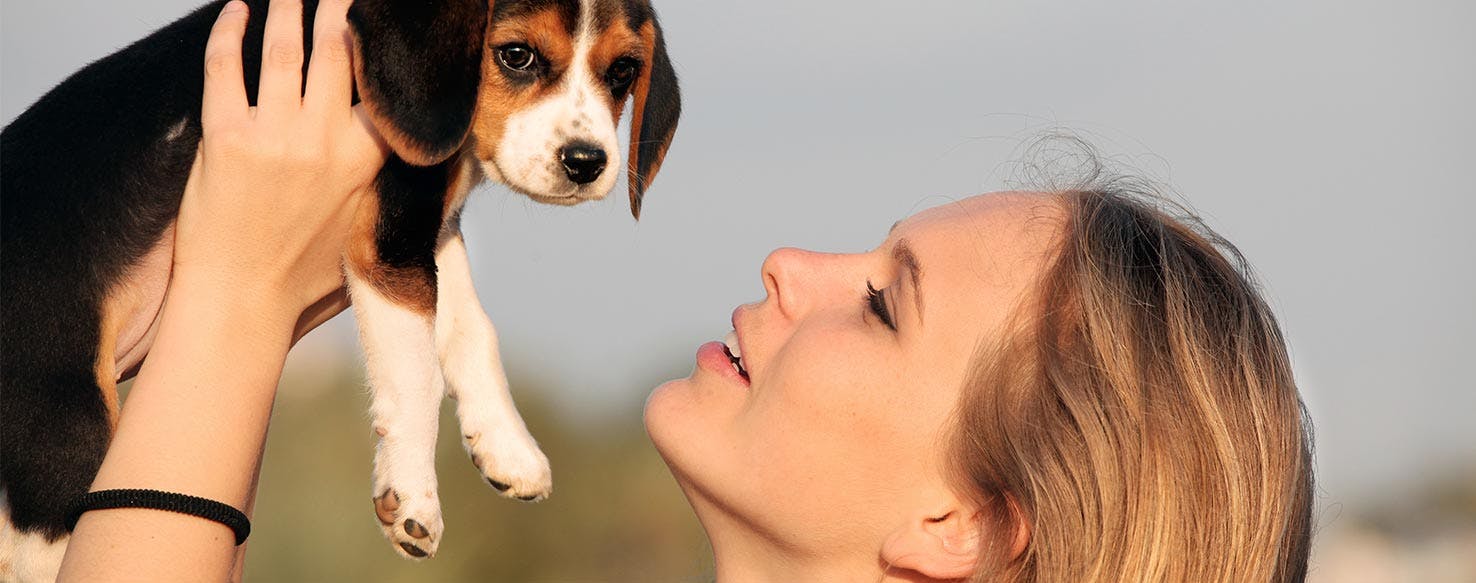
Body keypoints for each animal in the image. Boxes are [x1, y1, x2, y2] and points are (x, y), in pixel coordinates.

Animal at [0, 0, 678, 575]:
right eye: (516, 55)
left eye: (623, 71)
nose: (587, 162)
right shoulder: (388, 243)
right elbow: (417, 375)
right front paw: (414, 498)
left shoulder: (427, 226)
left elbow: (469, 328)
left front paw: (508, 446)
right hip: (62, 435)